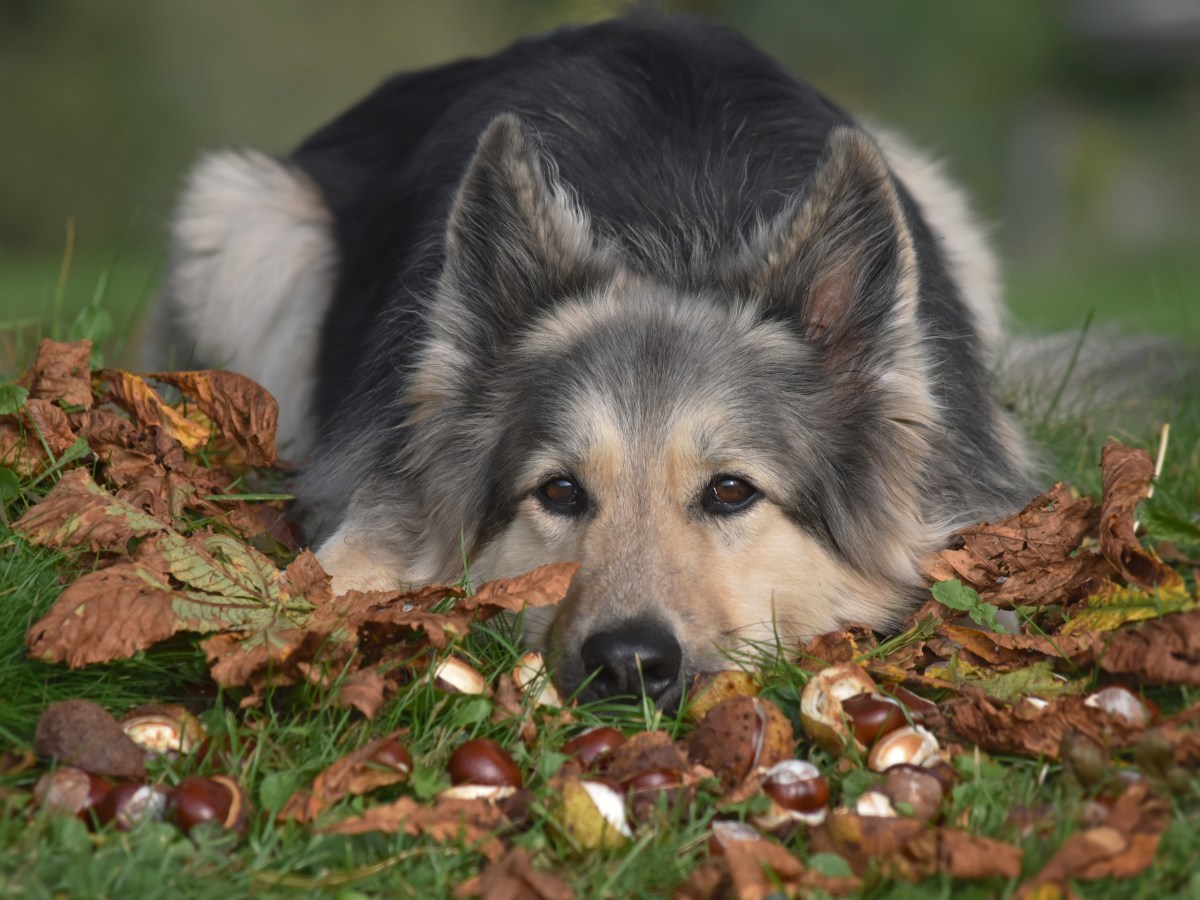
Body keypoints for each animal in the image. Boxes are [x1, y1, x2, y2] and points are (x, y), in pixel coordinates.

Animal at [150, 12, 1036, 710]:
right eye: (560, 492)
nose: (629, 663)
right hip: (244, 219)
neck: (676, 235)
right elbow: (331, 580)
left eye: (731, 492)